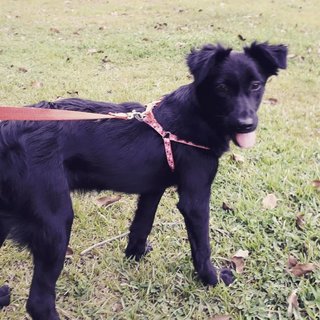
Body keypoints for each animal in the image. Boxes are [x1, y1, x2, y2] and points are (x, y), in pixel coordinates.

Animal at [0, 41, 284, 318]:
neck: (197, 115)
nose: (246, 124)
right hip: (55, 223)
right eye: (222, 88)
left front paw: (134, 255)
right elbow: (202, 246)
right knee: (38, 303)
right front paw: (212, 279)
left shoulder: (152, 189)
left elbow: (141, 224)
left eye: (256, 85)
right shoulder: (195, 199)